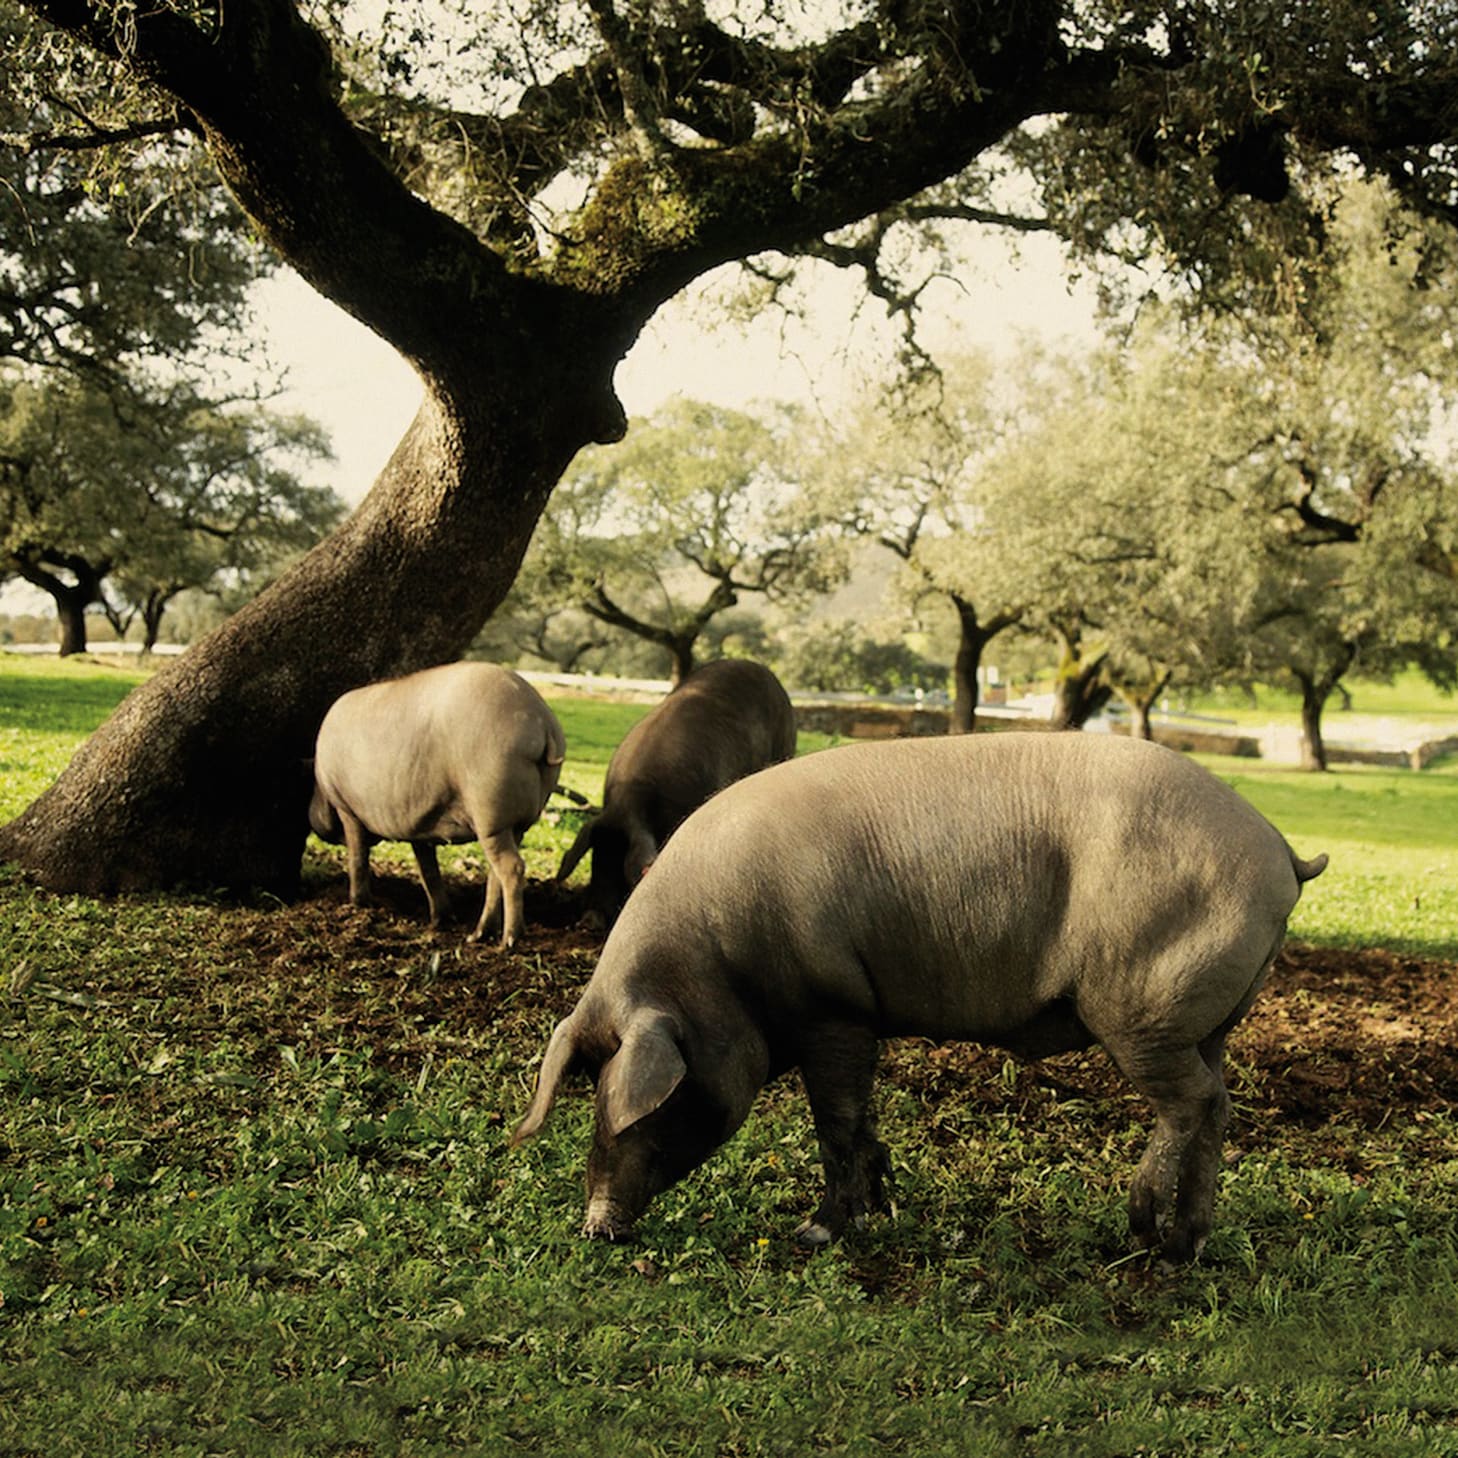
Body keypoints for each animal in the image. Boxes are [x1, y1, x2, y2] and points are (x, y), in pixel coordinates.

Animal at [310, 664, 565, 956]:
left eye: (313, 786)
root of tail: (542, 723)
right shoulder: (418, 826)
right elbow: (428, 871)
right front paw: (439, 920)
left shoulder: (347, 809)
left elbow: (358, 857)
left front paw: (358, 904)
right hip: (515, 822)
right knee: (496, 873)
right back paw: (477, 936)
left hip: (490, 809)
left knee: (513, 868)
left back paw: (507, 942)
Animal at [519, 734, 1329, 1259]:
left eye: (647, 1100)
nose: (597, 1227)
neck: (720, 964)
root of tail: (1280, 851)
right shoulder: (849, 1019)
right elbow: (861, 1121)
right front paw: (881, 1209)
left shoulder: (833, 1010)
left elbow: (836, 1122)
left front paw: (814, 1234)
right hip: (1208, 1020)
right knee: (1219, 1104)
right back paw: (1185, 1245)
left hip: (1146, 1009)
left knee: (1191, 1103)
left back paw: (1138, 1230)